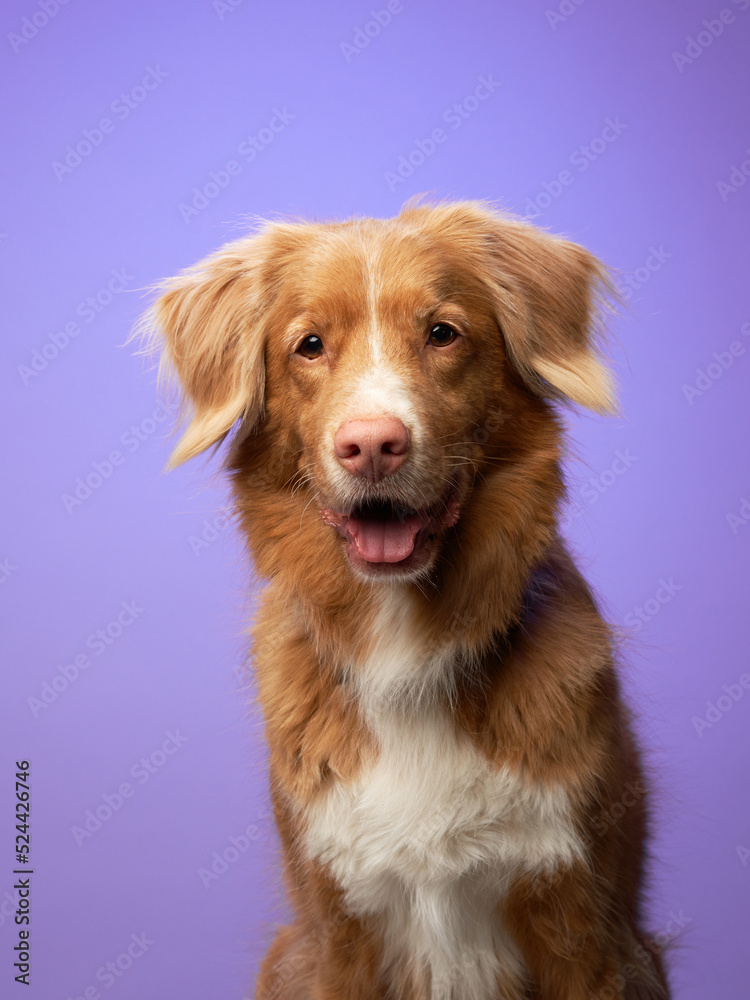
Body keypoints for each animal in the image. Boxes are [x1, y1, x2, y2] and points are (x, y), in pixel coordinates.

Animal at [145, 199, 668, 996]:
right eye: (309, 346)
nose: (371, 445)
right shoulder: (337, 931)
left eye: (442, 333)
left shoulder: (584, 925)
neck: (407, 643)